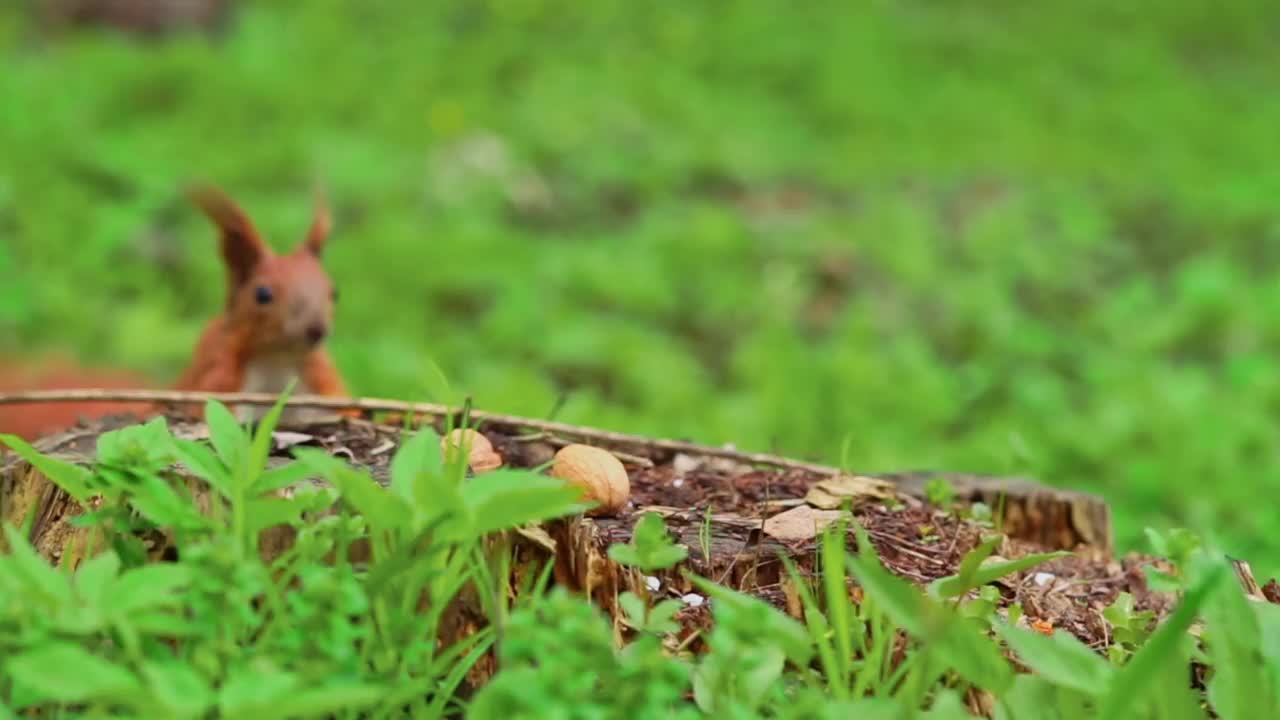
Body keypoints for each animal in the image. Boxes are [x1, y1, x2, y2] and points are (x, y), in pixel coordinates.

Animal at [0, 183, 350, 438]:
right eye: (262, 294)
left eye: (334, 292)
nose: (316, 329)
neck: (275, 359)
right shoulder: (218, 376)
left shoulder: (318, 381)